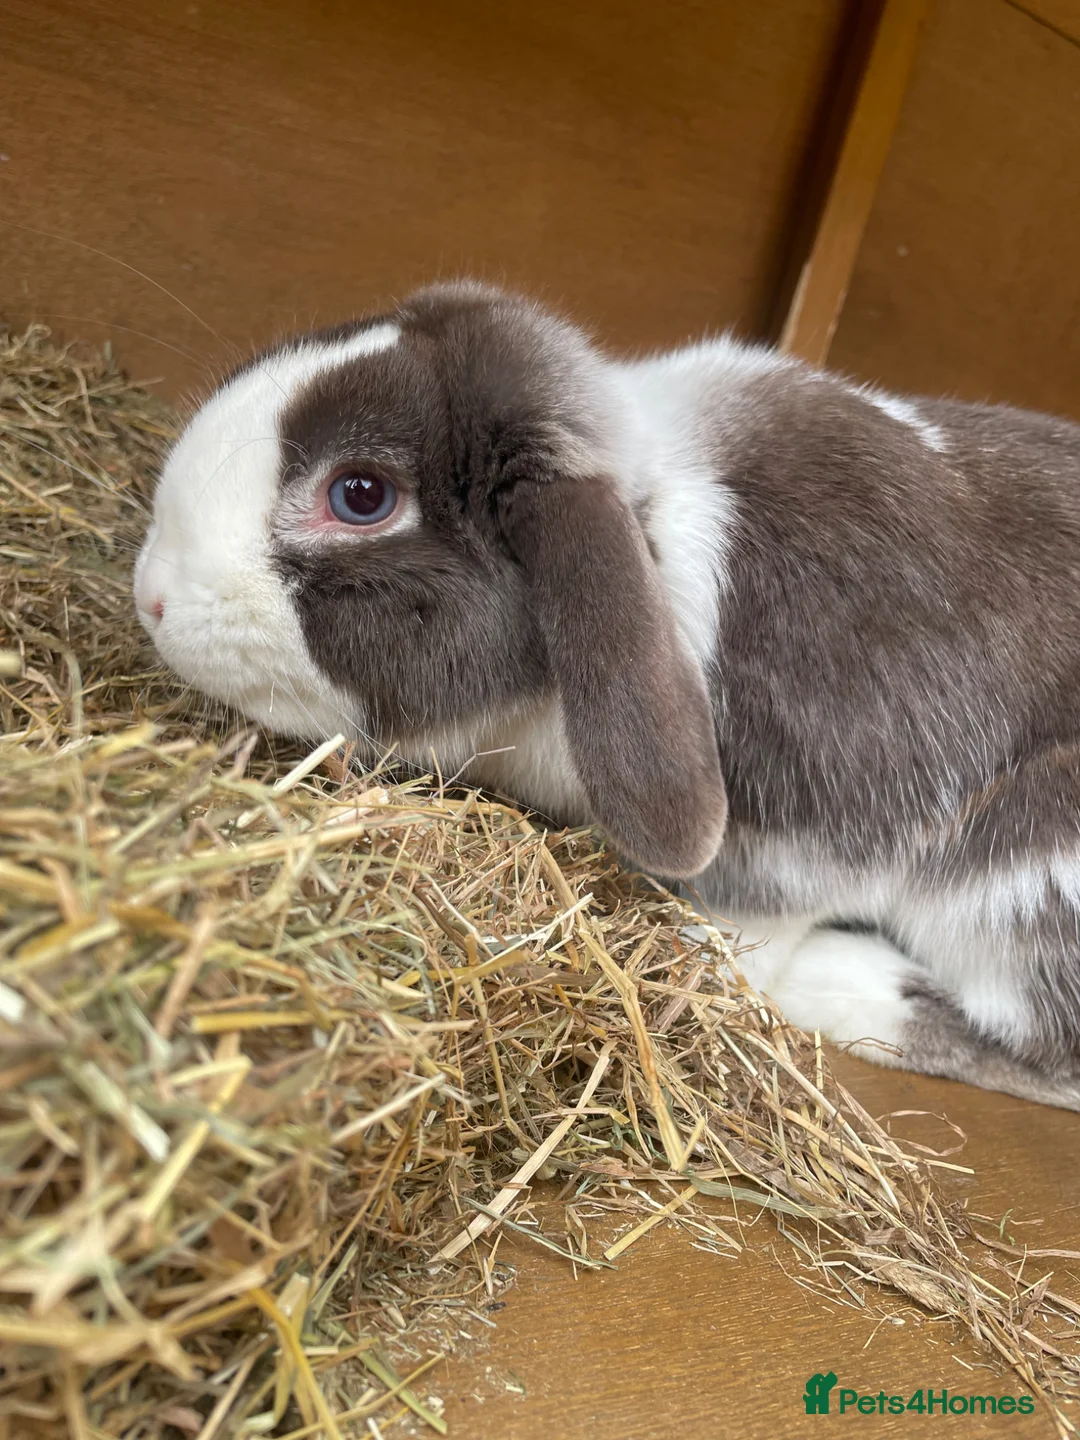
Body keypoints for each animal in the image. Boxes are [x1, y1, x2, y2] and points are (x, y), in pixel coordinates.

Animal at [134, 280, 1080, 1111]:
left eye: (360, 495)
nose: (151, 596)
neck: (647, 536)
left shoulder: (822, 826)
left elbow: (750, 928)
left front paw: (704, 965)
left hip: (1023, 869)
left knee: (1043, 1052)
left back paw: (840, 984)